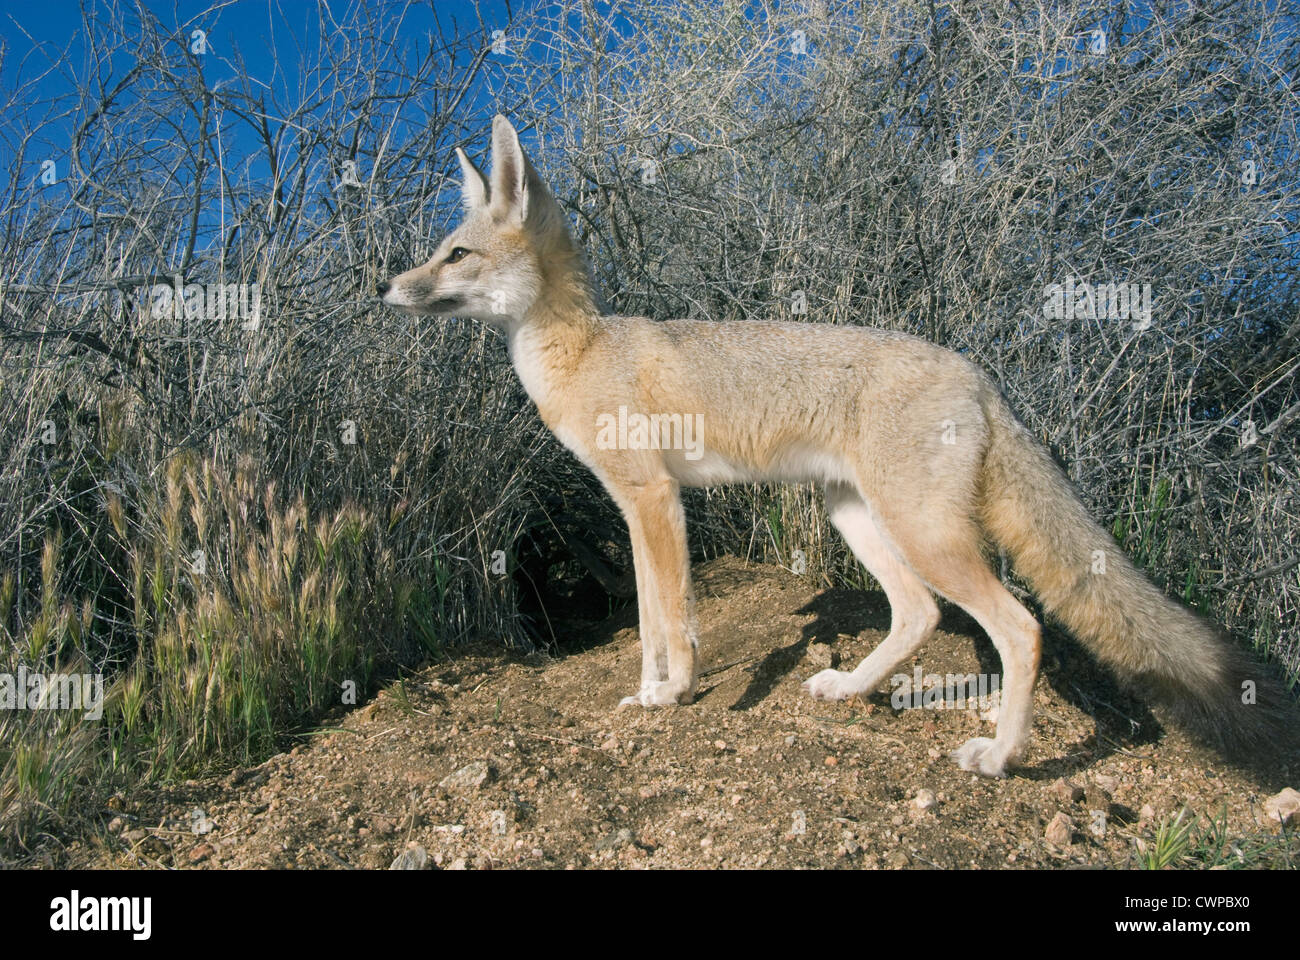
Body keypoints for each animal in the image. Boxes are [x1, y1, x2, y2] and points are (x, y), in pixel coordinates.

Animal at [377, 113, 1289, 770]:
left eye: (454, 254)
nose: (387, 288)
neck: (584, 351)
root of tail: (977, 373)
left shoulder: (657, 501)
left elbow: (674, 622)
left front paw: (675, 697)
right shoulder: (633, 509)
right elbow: (645, 624)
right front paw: (647, 695)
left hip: (923, 532)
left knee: (1021, 628)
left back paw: (1001, 755)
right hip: (856, 516)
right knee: (920, 614)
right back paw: (852, 688)